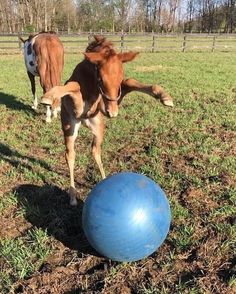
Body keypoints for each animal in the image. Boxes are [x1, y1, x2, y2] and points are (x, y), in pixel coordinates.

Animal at [41, 35, 173, 206]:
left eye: (120, 76)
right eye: (101, 79)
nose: (113, 113)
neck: (91, 84)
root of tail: (84, 122)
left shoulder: (106, 104)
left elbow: (130, 82)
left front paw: (164, 96)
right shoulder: (78, 106)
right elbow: (73, 85)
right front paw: (49, 96)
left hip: (98, 128)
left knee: (95, 151)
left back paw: (104, 180)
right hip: (69, 128)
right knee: (70, 155)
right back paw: (73, 196)